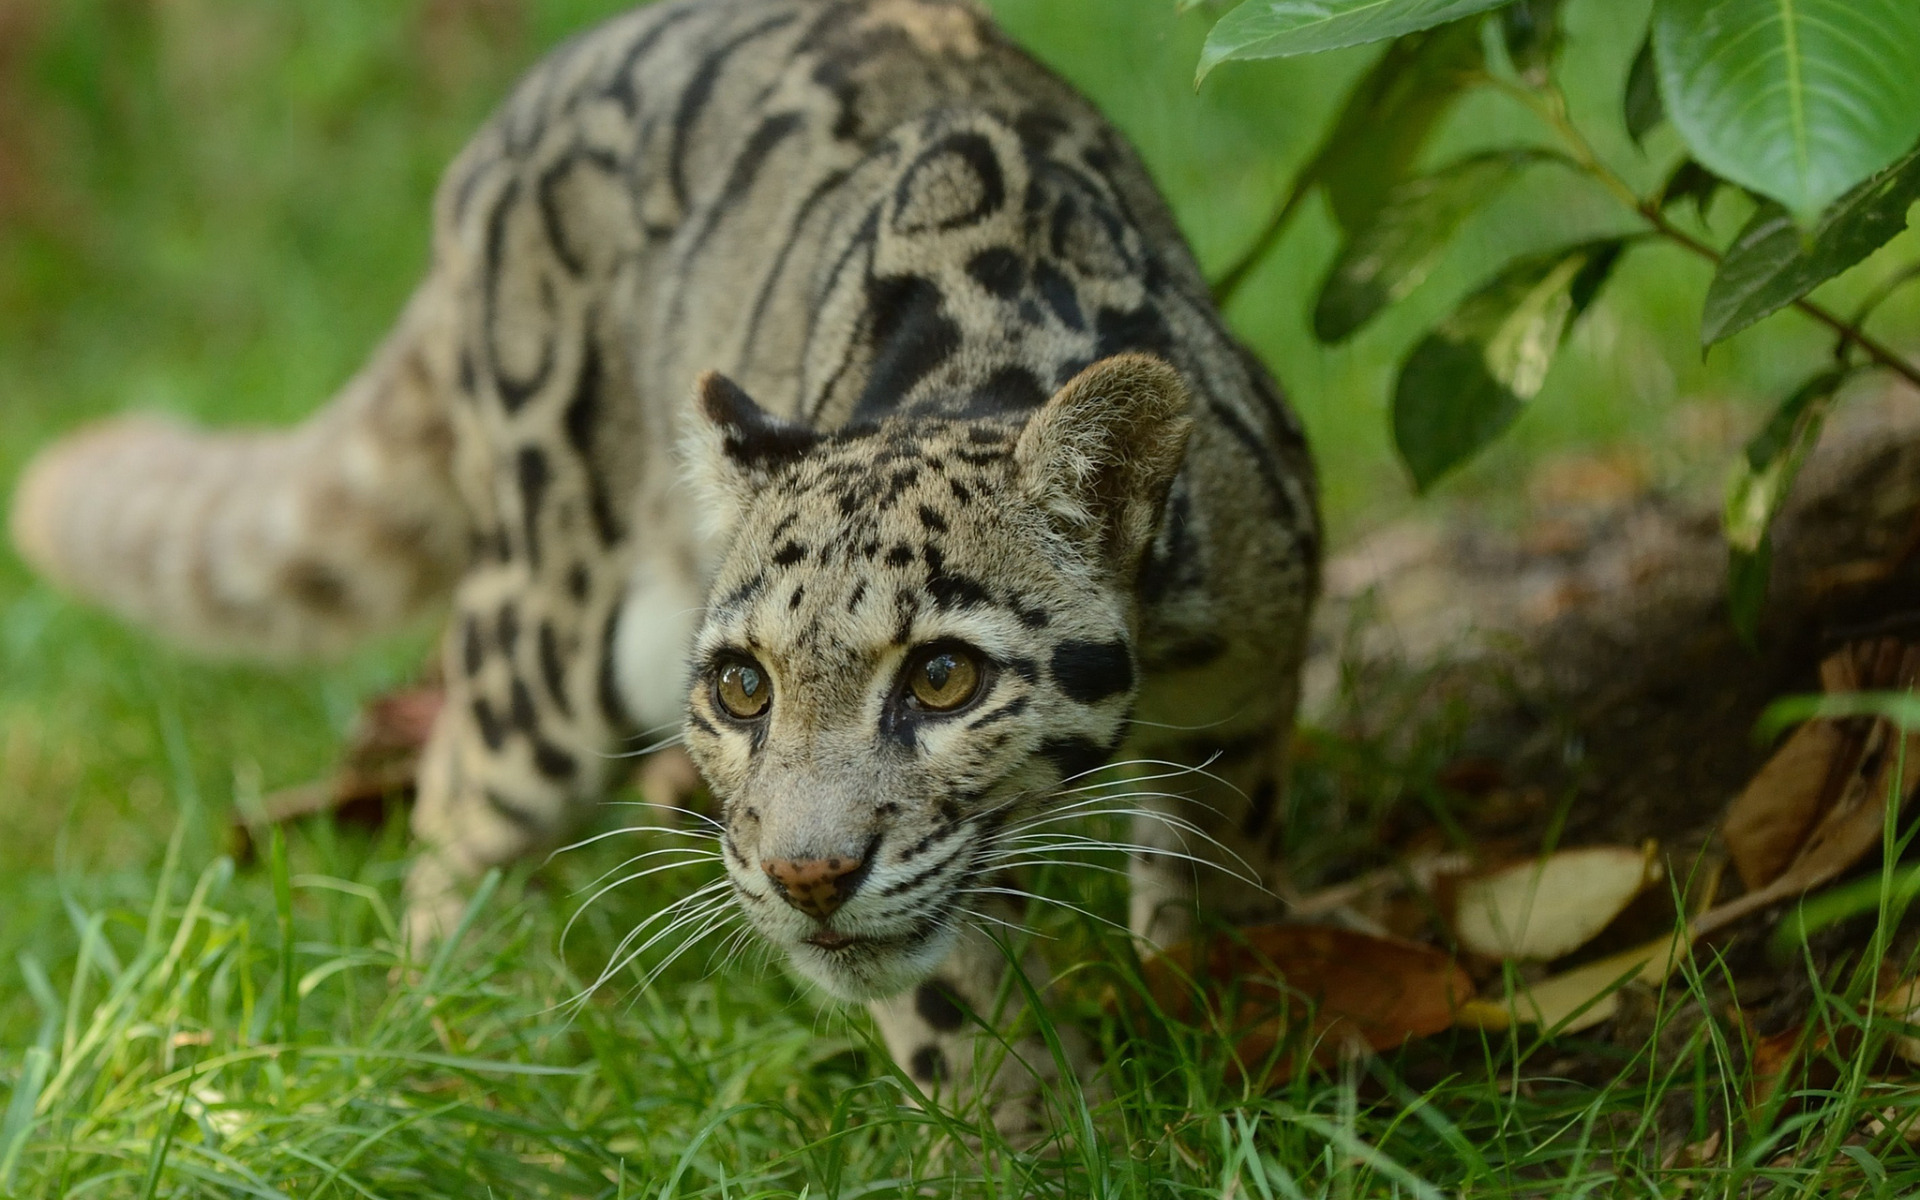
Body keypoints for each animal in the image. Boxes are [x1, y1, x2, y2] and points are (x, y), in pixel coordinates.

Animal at [11, 0, 1320, 1128]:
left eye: (945, 676)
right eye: (744, 687)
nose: (806, 876)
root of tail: (499, 131)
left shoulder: (1250, 689)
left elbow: (1220, 857)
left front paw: (1218, 1000)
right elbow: (953, 1003)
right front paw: (1031, 1137)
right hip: (553, 624)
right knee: (458, 781)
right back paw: (454, 1021)